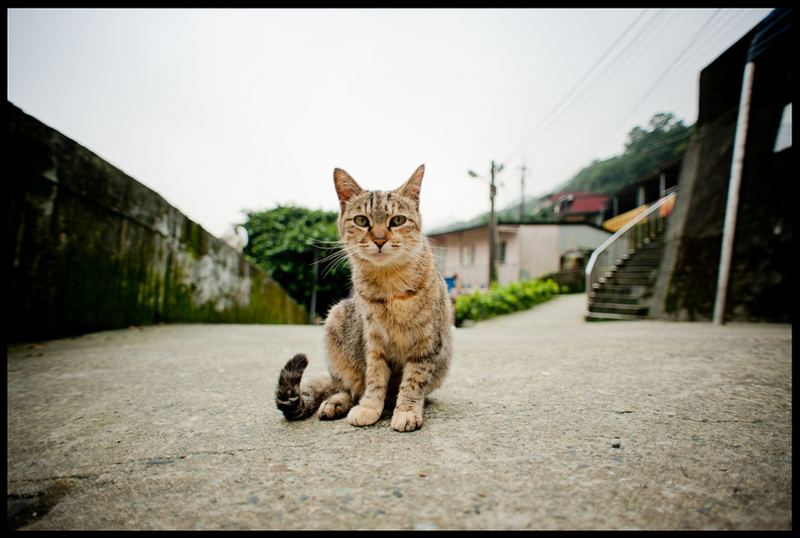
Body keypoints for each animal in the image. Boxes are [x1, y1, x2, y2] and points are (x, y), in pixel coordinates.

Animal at [276, 164, 454, 432]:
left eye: (397, 220)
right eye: (362, 220)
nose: (379, 239)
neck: (389, 283)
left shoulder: (427, 341)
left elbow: (414, 380)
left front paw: (407, 410)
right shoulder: (373, 339)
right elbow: (375, 377)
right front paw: (370, 407)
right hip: (335, 323)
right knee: (345, 388)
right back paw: (336, 402)